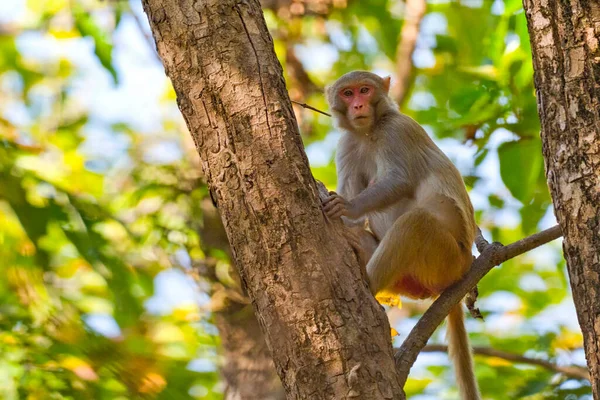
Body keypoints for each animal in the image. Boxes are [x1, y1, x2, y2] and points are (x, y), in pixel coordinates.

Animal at [322, 72, 480, 400]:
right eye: (347, 93)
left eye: (365, 90)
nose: (358, 105)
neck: (369, 132)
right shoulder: (348, 144)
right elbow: (351, 205)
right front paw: (344, 212)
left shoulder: (397, 131)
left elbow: (398, 180)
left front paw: (347, 206)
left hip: (446, 259)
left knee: (415, 222)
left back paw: (368, 282)